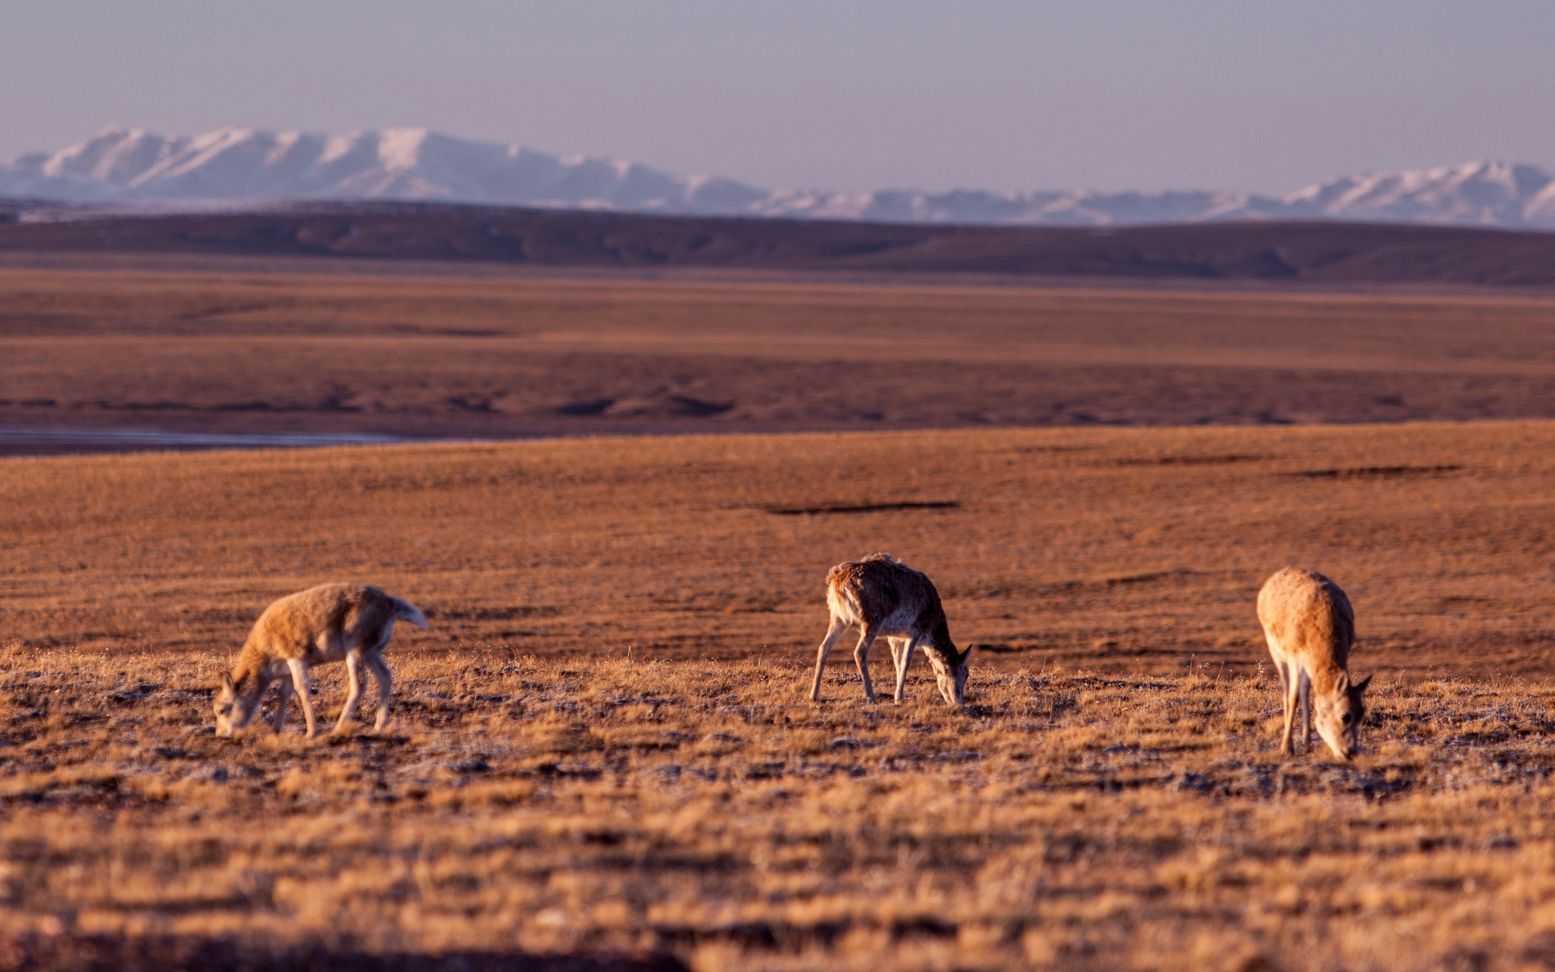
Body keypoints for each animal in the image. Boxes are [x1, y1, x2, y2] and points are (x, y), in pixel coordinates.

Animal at [213, 584, 429, 734]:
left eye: (221, 710)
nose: (221, 735)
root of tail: (389, 602)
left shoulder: (296, 660)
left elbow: (302, 689)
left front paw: (311, 732)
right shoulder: (287, 671)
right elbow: (284, 693)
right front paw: (276, 729)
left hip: (355, 652)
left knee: (359, 684)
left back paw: (339, 727)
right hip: (371, 653)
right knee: (385, 677)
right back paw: (378, 726)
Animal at [808, 553, 964, 706]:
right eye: (963, 674)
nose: (959, 702)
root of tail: (839, 578)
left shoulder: (894, 639)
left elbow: (897, 662)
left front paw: (898, 696)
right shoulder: (914, 633)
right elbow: (906, 661)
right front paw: (899, 698)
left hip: (839, 621)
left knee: (824, 648)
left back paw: (813, 696)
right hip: (871, 624)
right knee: (859, 652)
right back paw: (871, 697)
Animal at [1256, 566, 1380, 762]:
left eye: (1362, 713)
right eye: (1345, 716)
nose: (1350, 752)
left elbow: (1306, 693)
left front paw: (1306, 744)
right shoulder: (1295, 659)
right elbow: (1293, 697)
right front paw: (1287, 748)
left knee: (1304, 690)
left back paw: (1307, 742)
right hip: (1276, 652)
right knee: (1286, 688)